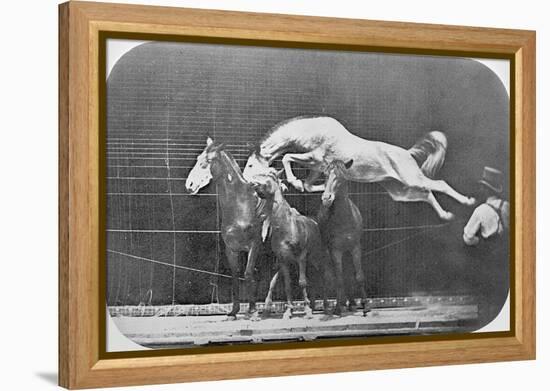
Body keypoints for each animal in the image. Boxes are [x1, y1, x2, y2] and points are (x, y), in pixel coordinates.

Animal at [185, 139, 266, 320]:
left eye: (208, 161)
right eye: (198, 158)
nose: (189, 185)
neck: (241, 206)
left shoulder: (254, 245)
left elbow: (248, 274)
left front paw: (253, 311)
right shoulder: (231, 249)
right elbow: (235, 277)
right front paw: (234, 312)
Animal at [244, 115, 476, 220]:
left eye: (251, 164)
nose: (246, 181)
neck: (313, 131)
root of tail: (408, 153)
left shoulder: (313, 158)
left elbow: (287, 157)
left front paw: (294, 182)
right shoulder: (317, 168)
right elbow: (310, 185)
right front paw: (308, 187)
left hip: (411, 179)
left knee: (440, 184)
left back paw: (468, 201)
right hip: (399, 191)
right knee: (427, 193)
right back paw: (446, 215)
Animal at [252, 173, 330, 320]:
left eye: (270, 178)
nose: (254, 184)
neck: (287, 228)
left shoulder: (301, 256)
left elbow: (302, 282)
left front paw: (307, 311)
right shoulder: (283, 260)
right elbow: (288, 285)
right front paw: (288, 311)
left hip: (317, 257)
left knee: (322, 277)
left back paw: (325, 307)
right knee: (313, 279)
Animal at [316, 159, 368, 316]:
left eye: (341, 176)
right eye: (325, 175)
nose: (326, 198)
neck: (345, 220)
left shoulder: (355, 247)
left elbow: (358, 276)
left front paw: (365, 306)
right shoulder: (335, 251)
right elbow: (338, 279)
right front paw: (338, 308)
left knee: (348, 274)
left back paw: (351, 303)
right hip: (326, 251)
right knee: (327, 274)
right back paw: (328, 306)